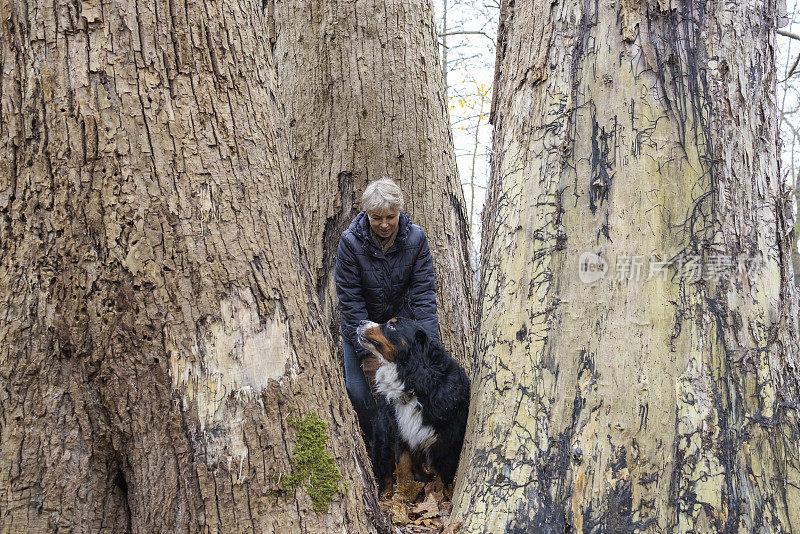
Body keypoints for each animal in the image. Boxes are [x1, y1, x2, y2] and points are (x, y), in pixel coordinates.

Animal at [354, 318, 468, 494]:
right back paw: (387, 495)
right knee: (387, 474)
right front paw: (402, 497)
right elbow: (403, 470)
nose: (361, 321)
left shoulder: (447, 444)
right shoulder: (402, 433)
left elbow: (442, 481)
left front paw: (439, 497)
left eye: (392, 326)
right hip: (384, 440)